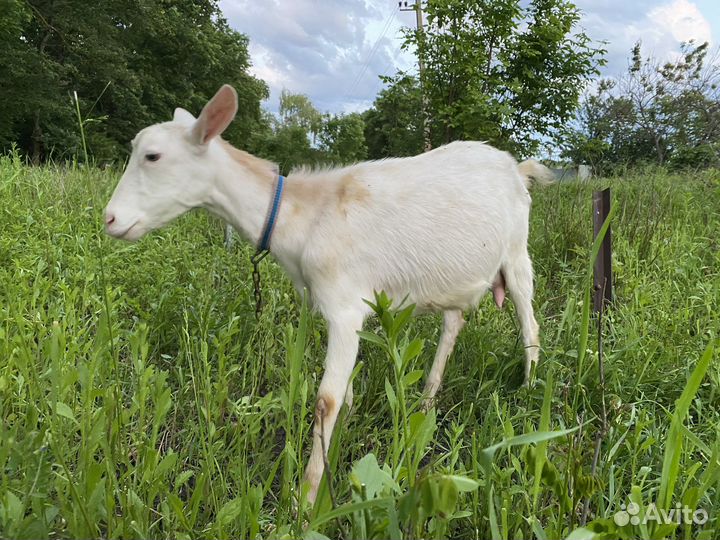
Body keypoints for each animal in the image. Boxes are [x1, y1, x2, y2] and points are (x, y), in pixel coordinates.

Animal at [104, 84, 554, 503]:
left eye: (153, 156)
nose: (110, 219)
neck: (305, 216)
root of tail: (517, 169)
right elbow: (346, 394)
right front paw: (343, 442)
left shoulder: (345, 306)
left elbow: (326, 400)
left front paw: (305, 499)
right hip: (453, 276)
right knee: (454, 322)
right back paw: (426, 401)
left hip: (516, 252)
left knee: (529, 324)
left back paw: (529, 390)